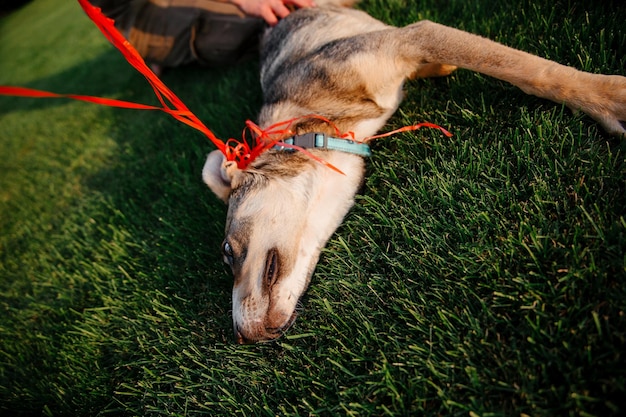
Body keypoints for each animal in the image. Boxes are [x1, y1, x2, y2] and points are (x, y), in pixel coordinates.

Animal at [196, 0, 624, 342]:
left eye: (226, 251)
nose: (241, 337)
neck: (319, 126)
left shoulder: (414, 35)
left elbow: (532, 72)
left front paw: (607, 98)